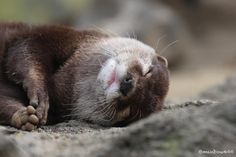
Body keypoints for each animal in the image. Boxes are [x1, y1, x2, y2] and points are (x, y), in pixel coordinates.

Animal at [0, 21, 170, 130]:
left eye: (130, 111)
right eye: (147, 71)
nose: (127, 86)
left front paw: (23, 116)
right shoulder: (45, 35)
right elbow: (26, 51)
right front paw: (40, 94)